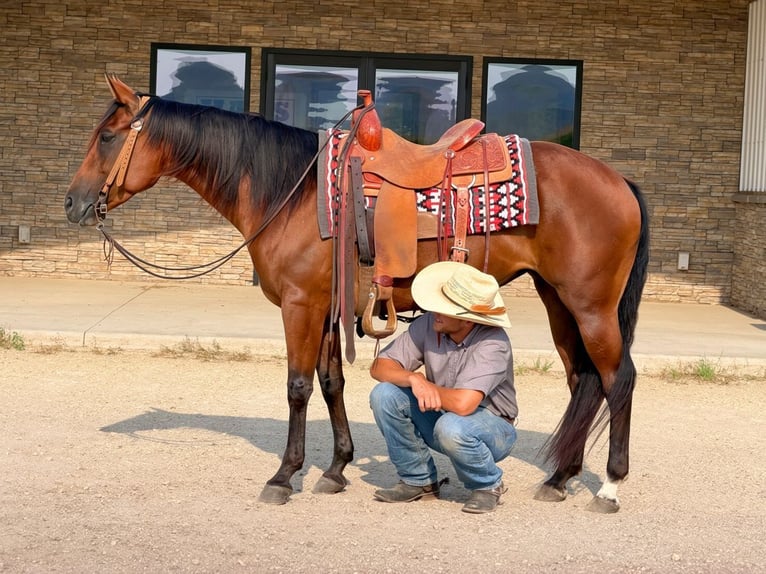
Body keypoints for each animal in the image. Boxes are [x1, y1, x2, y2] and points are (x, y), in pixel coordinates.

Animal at [65, 75, 649, 513]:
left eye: (108, 137)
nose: (71, 203)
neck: (292, 193)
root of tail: (619, 181)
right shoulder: (327, 309)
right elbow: (332, 383)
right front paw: (337, 468)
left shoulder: (301, 305)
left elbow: (298, 387)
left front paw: (284, 476)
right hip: (559, 302)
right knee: (583, 380)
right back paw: (559, 479)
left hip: (591, 306)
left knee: (618, 379)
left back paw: (609, 485)